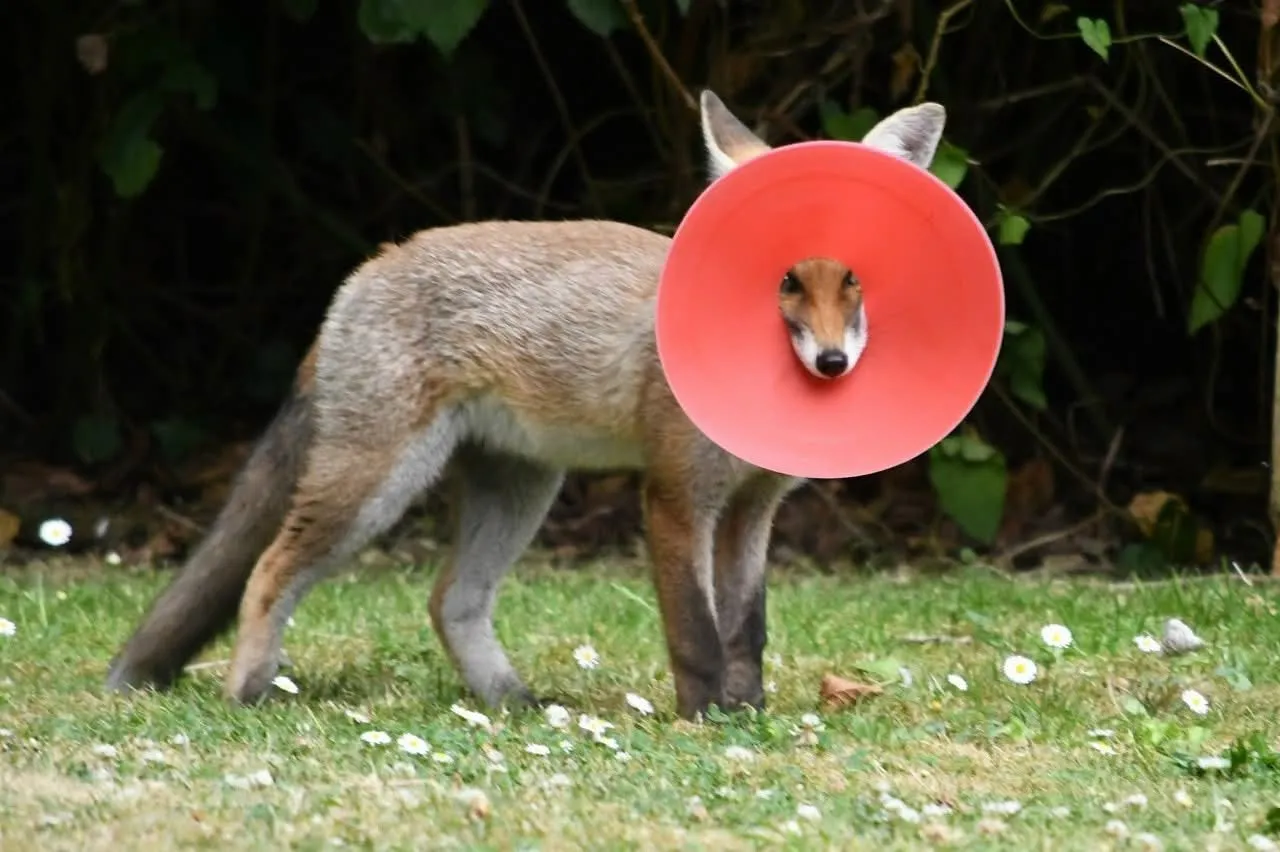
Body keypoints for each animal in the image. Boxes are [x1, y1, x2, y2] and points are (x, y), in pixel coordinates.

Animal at [104, 90, 947, 720]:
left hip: (520, 488)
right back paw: (248, 689)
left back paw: (509, 701)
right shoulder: (676, 496)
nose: (833, 363)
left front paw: (751, 715)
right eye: (786, 283)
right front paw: (706, 721)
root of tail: (370, 267)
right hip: (376, 483)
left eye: (853, 281)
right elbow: (698, 635)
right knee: (268, 569)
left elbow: (749, 630)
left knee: (451, 600)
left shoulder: (752, 509)